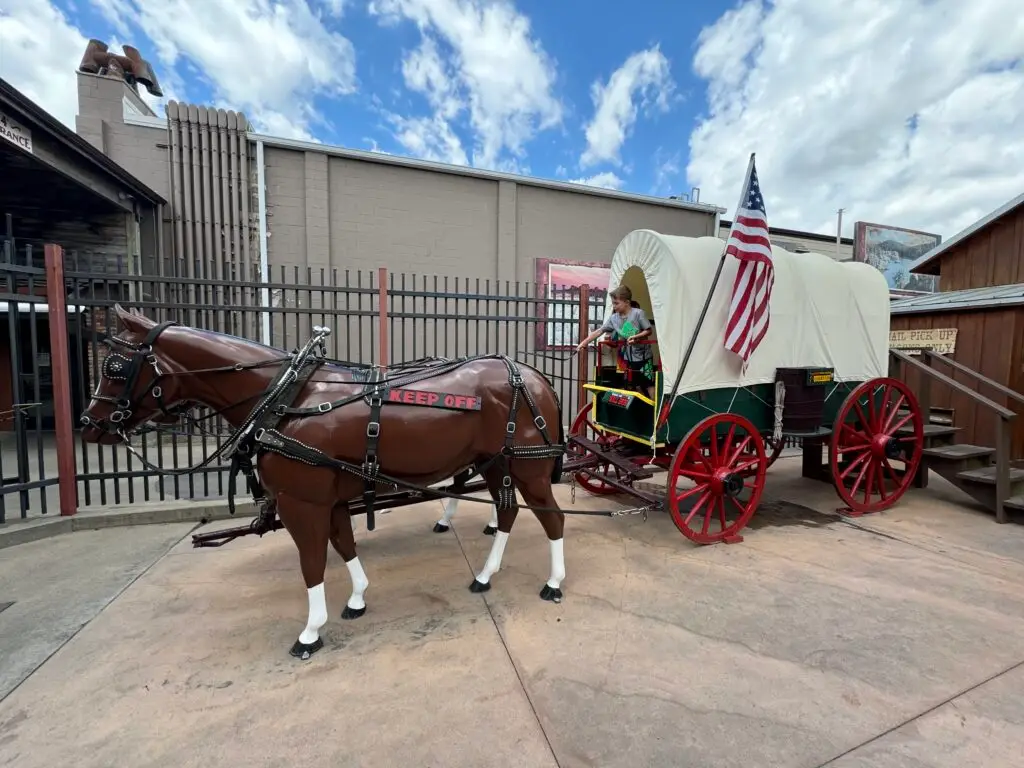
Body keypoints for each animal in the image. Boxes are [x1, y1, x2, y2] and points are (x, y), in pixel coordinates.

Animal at [80, 307, 573, 663]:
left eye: (116, 366)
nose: (89, 425)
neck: (286, 395)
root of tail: (534, 376)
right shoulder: (330, 498)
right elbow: (344, 544)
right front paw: (356, 598)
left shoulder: (302, 501)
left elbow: (312, 562)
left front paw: (310, 630)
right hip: (496, 463)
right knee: (507, 511)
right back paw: (486, 574)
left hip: (527, 468)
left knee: (552, 518)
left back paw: (553, 582)